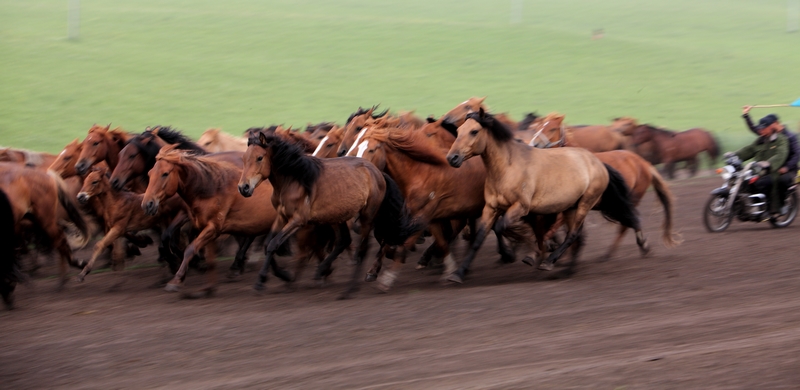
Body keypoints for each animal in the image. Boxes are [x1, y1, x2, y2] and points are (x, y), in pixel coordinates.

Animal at [238, 131, 418, 298]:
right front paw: (282, 276)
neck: (294, 180)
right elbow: (268, 244)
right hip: (338, 216)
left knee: (362, 249)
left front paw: (263, 280)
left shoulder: (298, 220)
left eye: (259, 157)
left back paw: (349, 289)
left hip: (367, 216)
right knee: (344, 240)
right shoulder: (281, 216)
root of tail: (378, 173)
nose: (243, 187)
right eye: (244, 158)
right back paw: (323, 269)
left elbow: (274, 244)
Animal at [444, 108, 636, 282]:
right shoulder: (491, 208)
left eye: (474, 131)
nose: (452, 158)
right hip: (570, 207)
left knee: (573, 234)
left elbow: (502, 228)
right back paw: (567, 270)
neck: (508, 167)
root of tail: (598, 162)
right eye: (458, 131)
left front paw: (516, 254)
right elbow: (480, 238)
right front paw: (458, 274)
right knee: (578, 236)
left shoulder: (521, 207)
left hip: (585, 203)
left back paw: (549, 262)